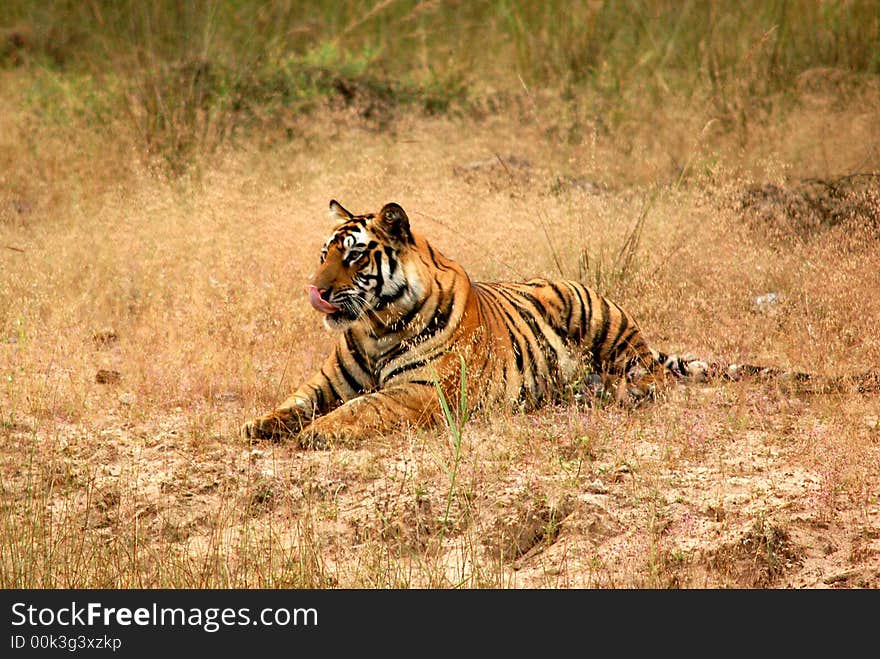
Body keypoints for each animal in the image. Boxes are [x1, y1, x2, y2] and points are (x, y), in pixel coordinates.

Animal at [242, 200, 880, 448]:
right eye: (323, 253)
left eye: (352, 257)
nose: (317, 291)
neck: (378, 324)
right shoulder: (331, 378)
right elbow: (298, 400)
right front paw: (261, 424)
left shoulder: (420, 392)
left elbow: (359, 410)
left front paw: (311, 436)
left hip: (594, 314)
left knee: (655, 380)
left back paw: (624, 393)